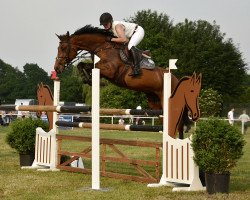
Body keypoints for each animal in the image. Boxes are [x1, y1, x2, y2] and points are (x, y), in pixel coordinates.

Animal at [53, 24, 196, 138]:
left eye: (63, 48)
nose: (57, 68)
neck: (102, 47)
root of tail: (176, 79)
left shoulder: (109, 70)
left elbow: (87, 66)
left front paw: (92, 81)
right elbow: (81, 65)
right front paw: (88, 79)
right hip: (154, 101)